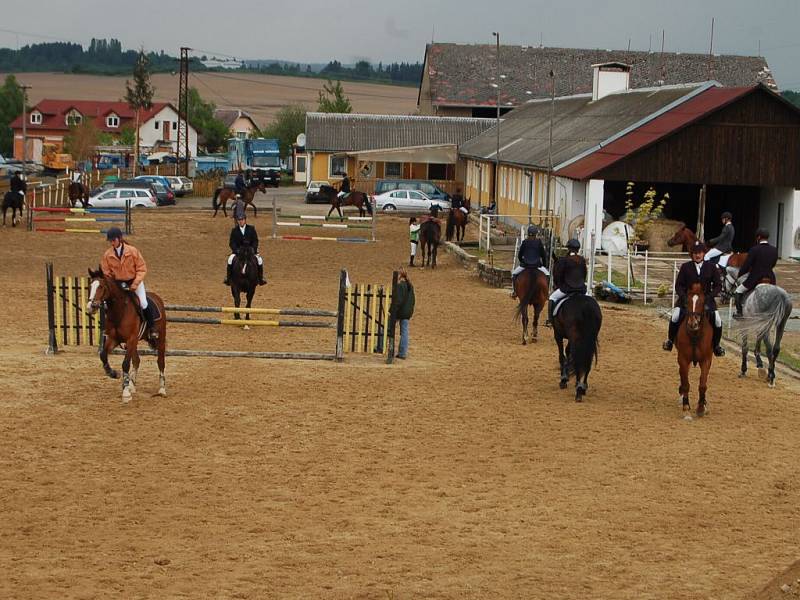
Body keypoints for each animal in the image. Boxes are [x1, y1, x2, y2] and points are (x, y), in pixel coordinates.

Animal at [85, 268, 167, 404]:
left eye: (101, 286)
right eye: (90, 286)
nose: (91, 307)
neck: (120, 311)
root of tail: (157, 298)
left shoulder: (130, 339)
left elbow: (125, 364)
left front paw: (126, 393)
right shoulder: (113, 339)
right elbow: (103, 355)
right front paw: (113, 374)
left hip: (159, 340)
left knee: (160, 362)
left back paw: (161, 390)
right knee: (137, 360)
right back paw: (132, 385)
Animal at [676, 282, 712, 418]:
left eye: (703, 302)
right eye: (687, 301)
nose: (693, 324)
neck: (695, 334)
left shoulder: (706, 360)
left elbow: (702, 384)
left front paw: (701, 407)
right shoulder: (683, 358)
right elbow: (686, 382)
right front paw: (686, 406)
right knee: (682, 375)